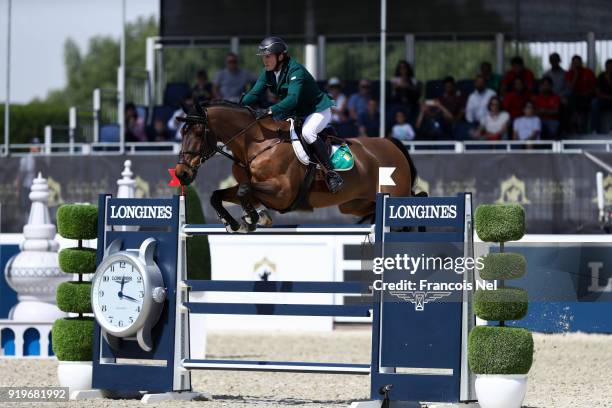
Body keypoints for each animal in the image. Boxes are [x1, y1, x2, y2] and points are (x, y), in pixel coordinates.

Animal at [175, 101, 418, 233]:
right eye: (182, 132)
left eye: (198, 133)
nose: (181, 173)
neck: (256, 143)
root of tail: (391, 143)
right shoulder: (257, 189)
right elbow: (219, 195)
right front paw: (234, 223)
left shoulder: (282, 193)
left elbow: (245, 191)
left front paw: (254, 218)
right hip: (354, 204)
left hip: (395, 195)